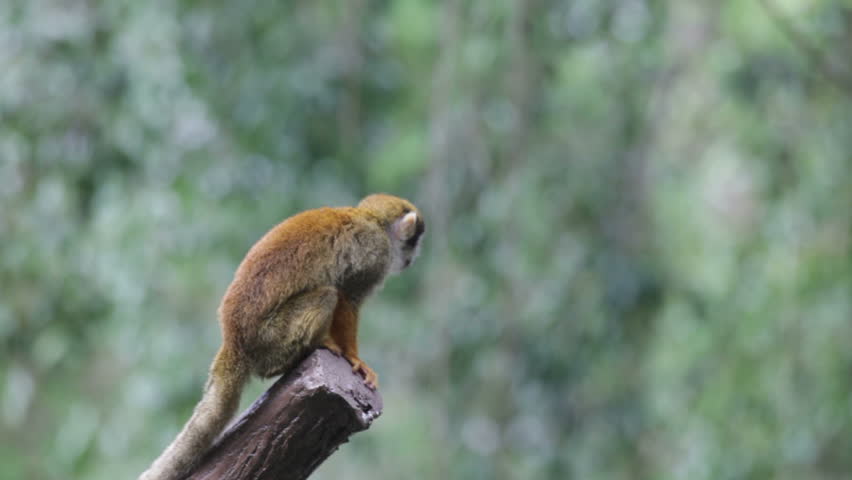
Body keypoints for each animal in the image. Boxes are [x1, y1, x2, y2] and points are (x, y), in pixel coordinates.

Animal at [139, 193, 425, 480]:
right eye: (414, 242)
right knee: (327, 295)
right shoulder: (375, 254)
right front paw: (354, 358)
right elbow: (347, 298)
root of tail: (233, 340)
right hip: (272, 338)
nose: (412, 259)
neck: (374, 221)